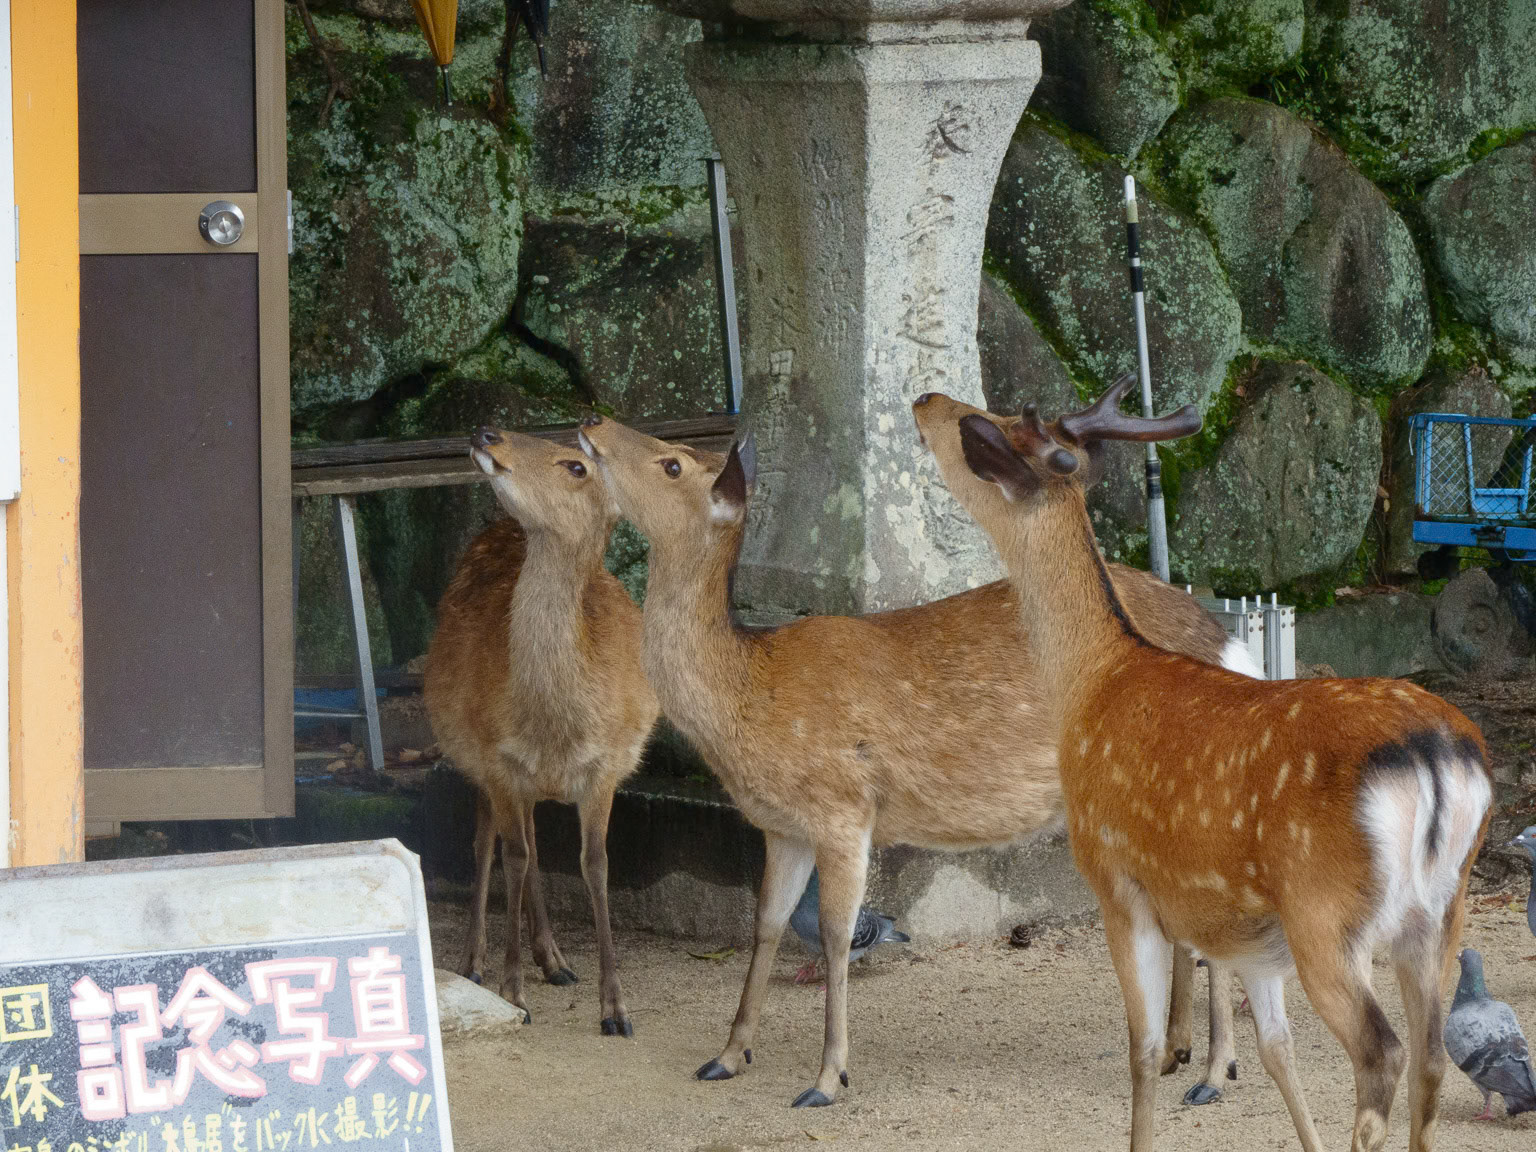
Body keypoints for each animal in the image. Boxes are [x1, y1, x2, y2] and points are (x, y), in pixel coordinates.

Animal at [424, 425, 659, 1037]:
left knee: (528, 838)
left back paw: (554, 960)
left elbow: (595, 864)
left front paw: (615, 1009)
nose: (488, 432)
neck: (556, 724)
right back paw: (475, 961)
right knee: (489, 844)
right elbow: (511, 857)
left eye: (577, 466)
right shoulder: (498, 760)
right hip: (474, 762)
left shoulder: (606, 766)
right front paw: (513, 993)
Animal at [575, 407, 1255, 1109]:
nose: (592, 421)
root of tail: (1228, 640)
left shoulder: (844, 808)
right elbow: (764, 925)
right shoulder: (781, 826)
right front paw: (728, 1056)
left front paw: (826, 1079)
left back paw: (1213, 1073)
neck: (750, 691)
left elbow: (838, 935)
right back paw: (1176, 1052)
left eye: (672, 463)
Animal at [943, 373, 1492, 1152]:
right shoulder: (1250, 939)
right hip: (1444, 909)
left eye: (985, 426)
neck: (1089, 682)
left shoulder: (1115, 878)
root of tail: (1440, 758)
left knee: (1381, 1050)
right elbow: (1275, 1048)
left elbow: (1142, 1049)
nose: (928, 403)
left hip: (1327, 913)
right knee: (1433, 1053)